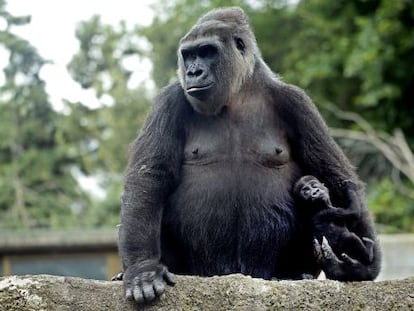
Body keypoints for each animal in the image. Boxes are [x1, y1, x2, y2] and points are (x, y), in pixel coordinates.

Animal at [118, 6, 380, 304]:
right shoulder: (169, 100)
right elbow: (151, 178)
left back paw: (297, 274)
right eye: (189, 55)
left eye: (207, 51)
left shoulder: (297, 102)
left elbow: (335, 175)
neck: (240, 91)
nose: (193, 72)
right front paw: (144, 269)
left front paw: (363, 266)